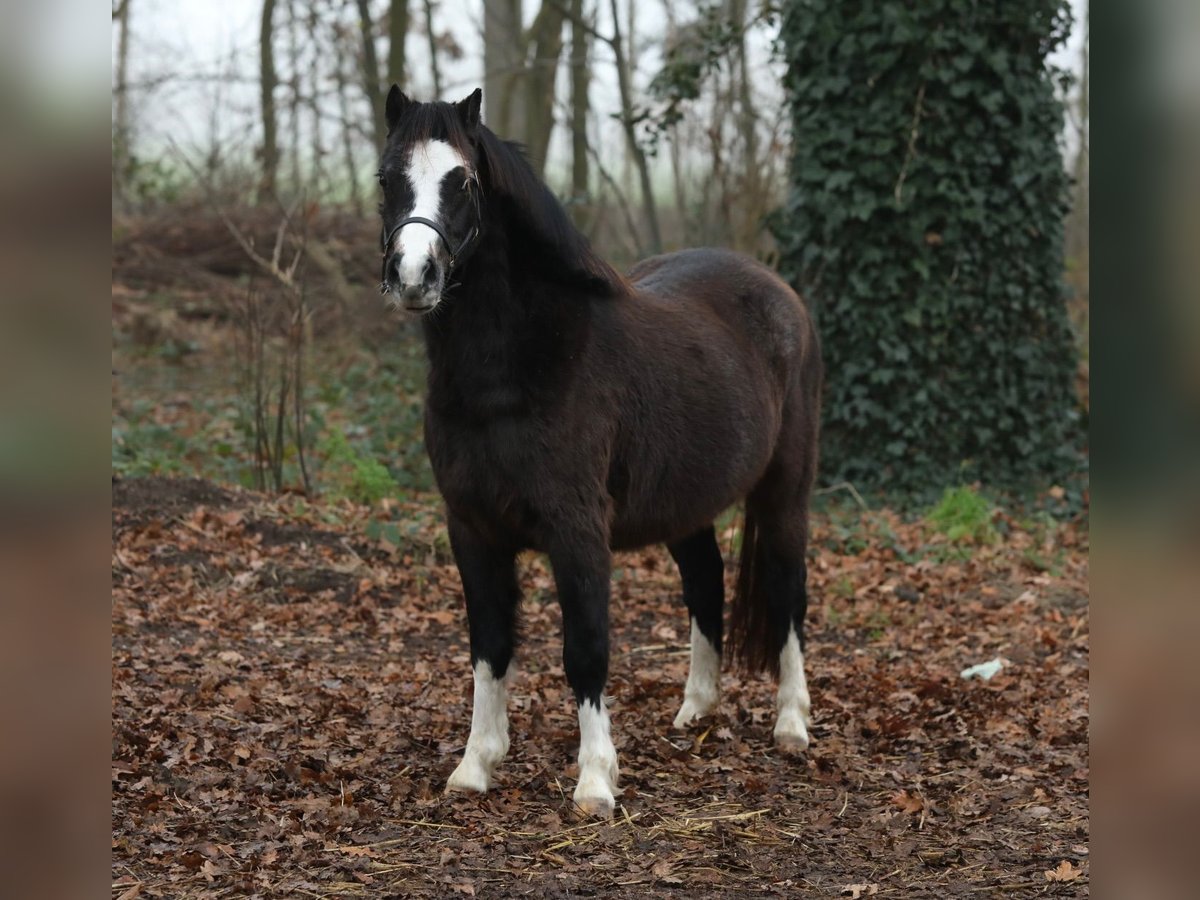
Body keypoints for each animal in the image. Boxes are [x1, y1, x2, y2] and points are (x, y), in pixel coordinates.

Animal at [374, 90, 825, 816]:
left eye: (463, 181)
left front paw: (594, 782)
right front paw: (476, 766)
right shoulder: (471, 528)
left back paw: (791, 725)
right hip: (686, 506)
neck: (515, 368)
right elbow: (488, 646)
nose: (415, 275)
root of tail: (780, 293)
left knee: (788, 593)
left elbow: (585, 649)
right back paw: (696, 710)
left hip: (785, 492)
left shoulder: (577, 530)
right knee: (706, 584)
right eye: (387, 178)